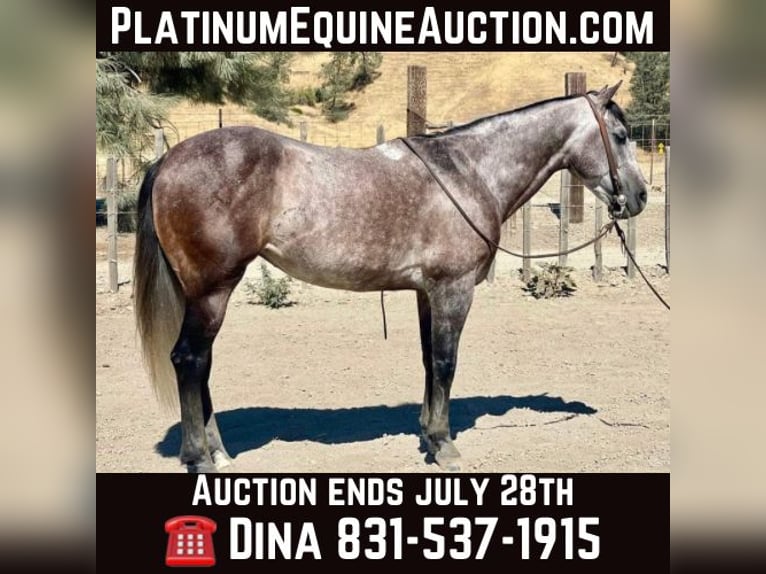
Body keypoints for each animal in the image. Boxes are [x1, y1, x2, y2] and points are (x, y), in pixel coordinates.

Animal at [133, 82, 647, 473]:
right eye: (621, 135)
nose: (640, 196)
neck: (470, 171)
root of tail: (170, 160)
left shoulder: (427, 292)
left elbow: (428, 361)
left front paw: (427, 435)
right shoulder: (453, 290)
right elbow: (445, 362)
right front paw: (445, 445)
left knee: (202, 365)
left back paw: (219, 452)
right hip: (212, 291)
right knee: (188, 360)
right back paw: (200, 458)